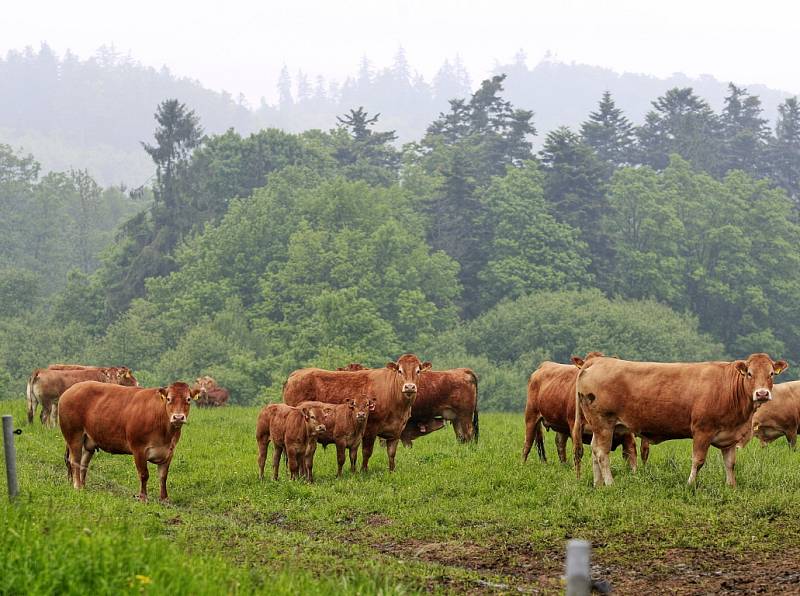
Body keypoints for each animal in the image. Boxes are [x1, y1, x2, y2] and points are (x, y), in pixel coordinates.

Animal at [58, 380, 198, 500]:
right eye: (169, 399)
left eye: (188, 399)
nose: (178, 417)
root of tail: (72, 388)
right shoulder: (139, 449)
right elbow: (144, 474)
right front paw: (143, 497)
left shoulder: (169, 451)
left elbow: (163, 476)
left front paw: (164, 499)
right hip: (74, 436)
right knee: (74, 461)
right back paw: (77, 487)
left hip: (88, 442)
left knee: (83, 464)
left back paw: (83, 486)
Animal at [282, 354, 432, 470]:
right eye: (400, 371)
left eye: (418, 371)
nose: (409, 387)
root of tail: (295, 374)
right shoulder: (370, 429)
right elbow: (367, 452)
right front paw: (363, 470)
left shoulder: (396, 431)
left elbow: (391, 453)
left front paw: (391, 470)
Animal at [576, 352, 788, 486]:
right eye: (750, 374)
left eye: (771, 374)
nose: (762, 393)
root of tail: (597, 361)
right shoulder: (703, 430)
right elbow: (698, 460)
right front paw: (690, 484)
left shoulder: (729, 436)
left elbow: (730, 463)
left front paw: (731, 486)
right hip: (603, 422)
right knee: (602, 453)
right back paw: (610, 483)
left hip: (600, 426)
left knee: (595, 450)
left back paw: (598, 484)